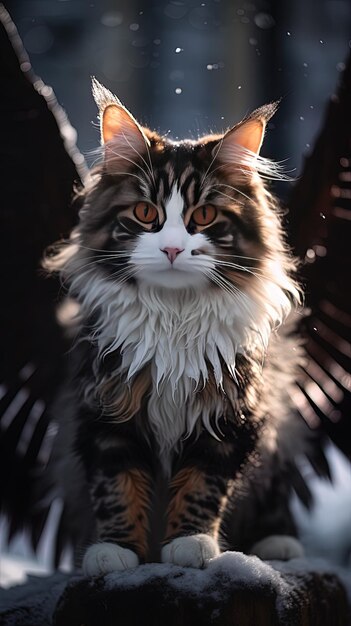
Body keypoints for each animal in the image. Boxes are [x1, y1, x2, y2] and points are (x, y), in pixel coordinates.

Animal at [46, 79, 306, 576]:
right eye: (146, 214)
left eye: (203, 217)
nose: (171, 249)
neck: (174, 314)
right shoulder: (106, 410)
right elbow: (117, 486)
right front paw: (115, 551)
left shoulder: (231, 414)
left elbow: (203, 486)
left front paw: (190, 544)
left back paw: (278, 542)